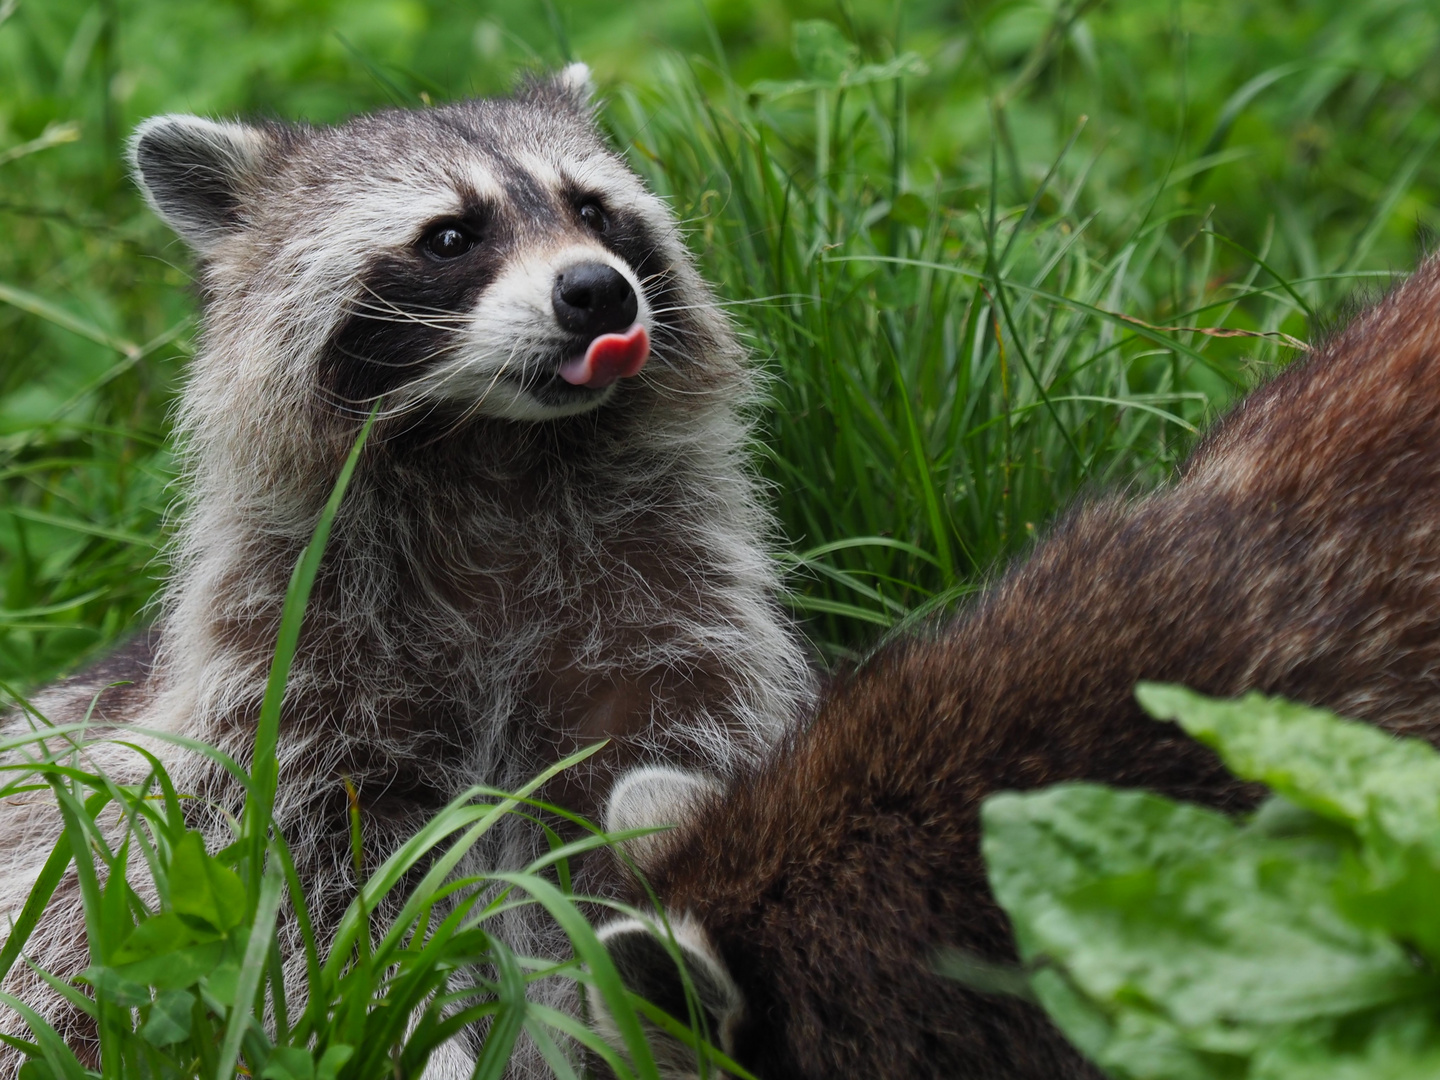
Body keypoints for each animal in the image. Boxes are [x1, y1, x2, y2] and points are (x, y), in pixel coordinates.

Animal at [0, 65, 812, 1077]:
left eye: (594, 210)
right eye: (452, 236)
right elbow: (333, 924)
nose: (598, 290)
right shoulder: (293, 688)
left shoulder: (671, 625)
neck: (494, 454)